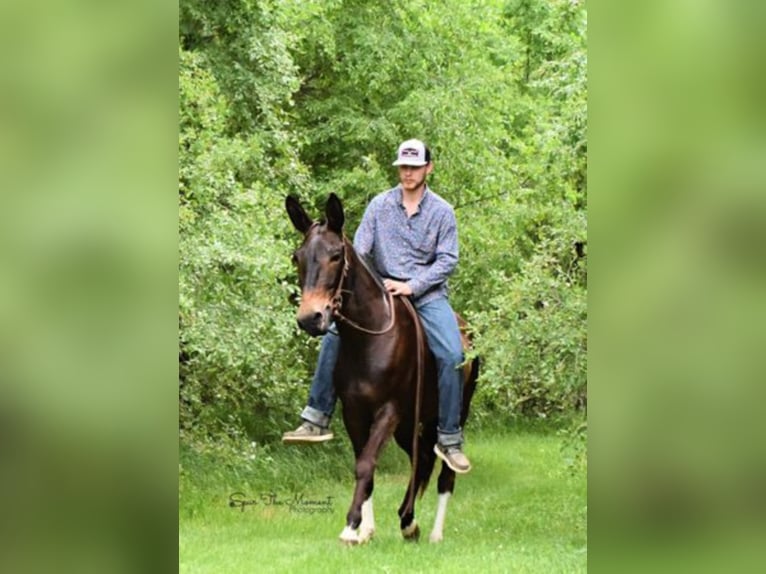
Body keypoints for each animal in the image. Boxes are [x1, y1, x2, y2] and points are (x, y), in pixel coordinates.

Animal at [286, 192, 480, 544]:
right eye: (297, 257)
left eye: (336, 255)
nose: (310, 318)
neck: (370, 339)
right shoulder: (354, 411)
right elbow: (365, 463)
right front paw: (365, 529)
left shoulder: (389, 410)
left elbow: (366, 464)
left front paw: (350, 528)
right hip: (411, 423)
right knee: (422, 460)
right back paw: (408, 521)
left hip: (454, 415)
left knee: (445, 470)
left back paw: (434, 532)